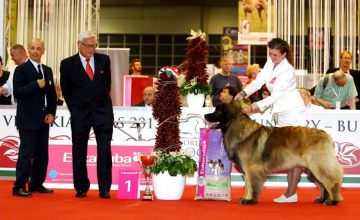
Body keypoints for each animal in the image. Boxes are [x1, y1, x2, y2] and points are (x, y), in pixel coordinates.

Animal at [205, 102, 344, 205]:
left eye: (217, 112)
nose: (206, 115)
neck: (236, 127)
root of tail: (325, 135)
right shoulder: (246, 170)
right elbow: (247, 185)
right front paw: (245, 198)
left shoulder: (251, 168)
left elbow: (251, 185)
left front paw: (249, 200)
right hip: (312, 169)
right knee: (323, 184)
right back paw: (322, 199)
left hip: (318, 165)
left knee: (331, 181)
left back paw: (333, 201)